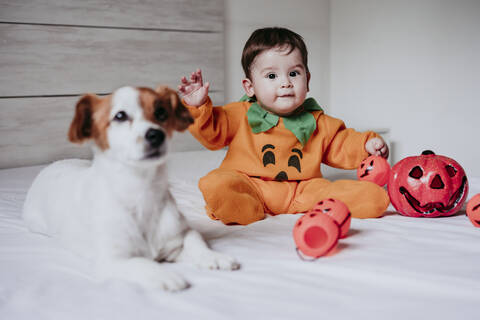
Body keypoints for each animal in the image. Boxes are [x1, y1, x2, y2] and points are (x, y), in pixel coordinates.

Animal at [23, 86, 240, 292]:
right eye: (120, 116)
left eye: (161, 112)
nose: (156, 134)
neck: (143, 193)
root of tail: (53, 165)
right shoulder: (112, 261)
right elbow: (143, 263)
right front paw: (164, 275)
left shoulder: (179, 237)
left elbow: (196, 242)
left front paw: (213, 257)